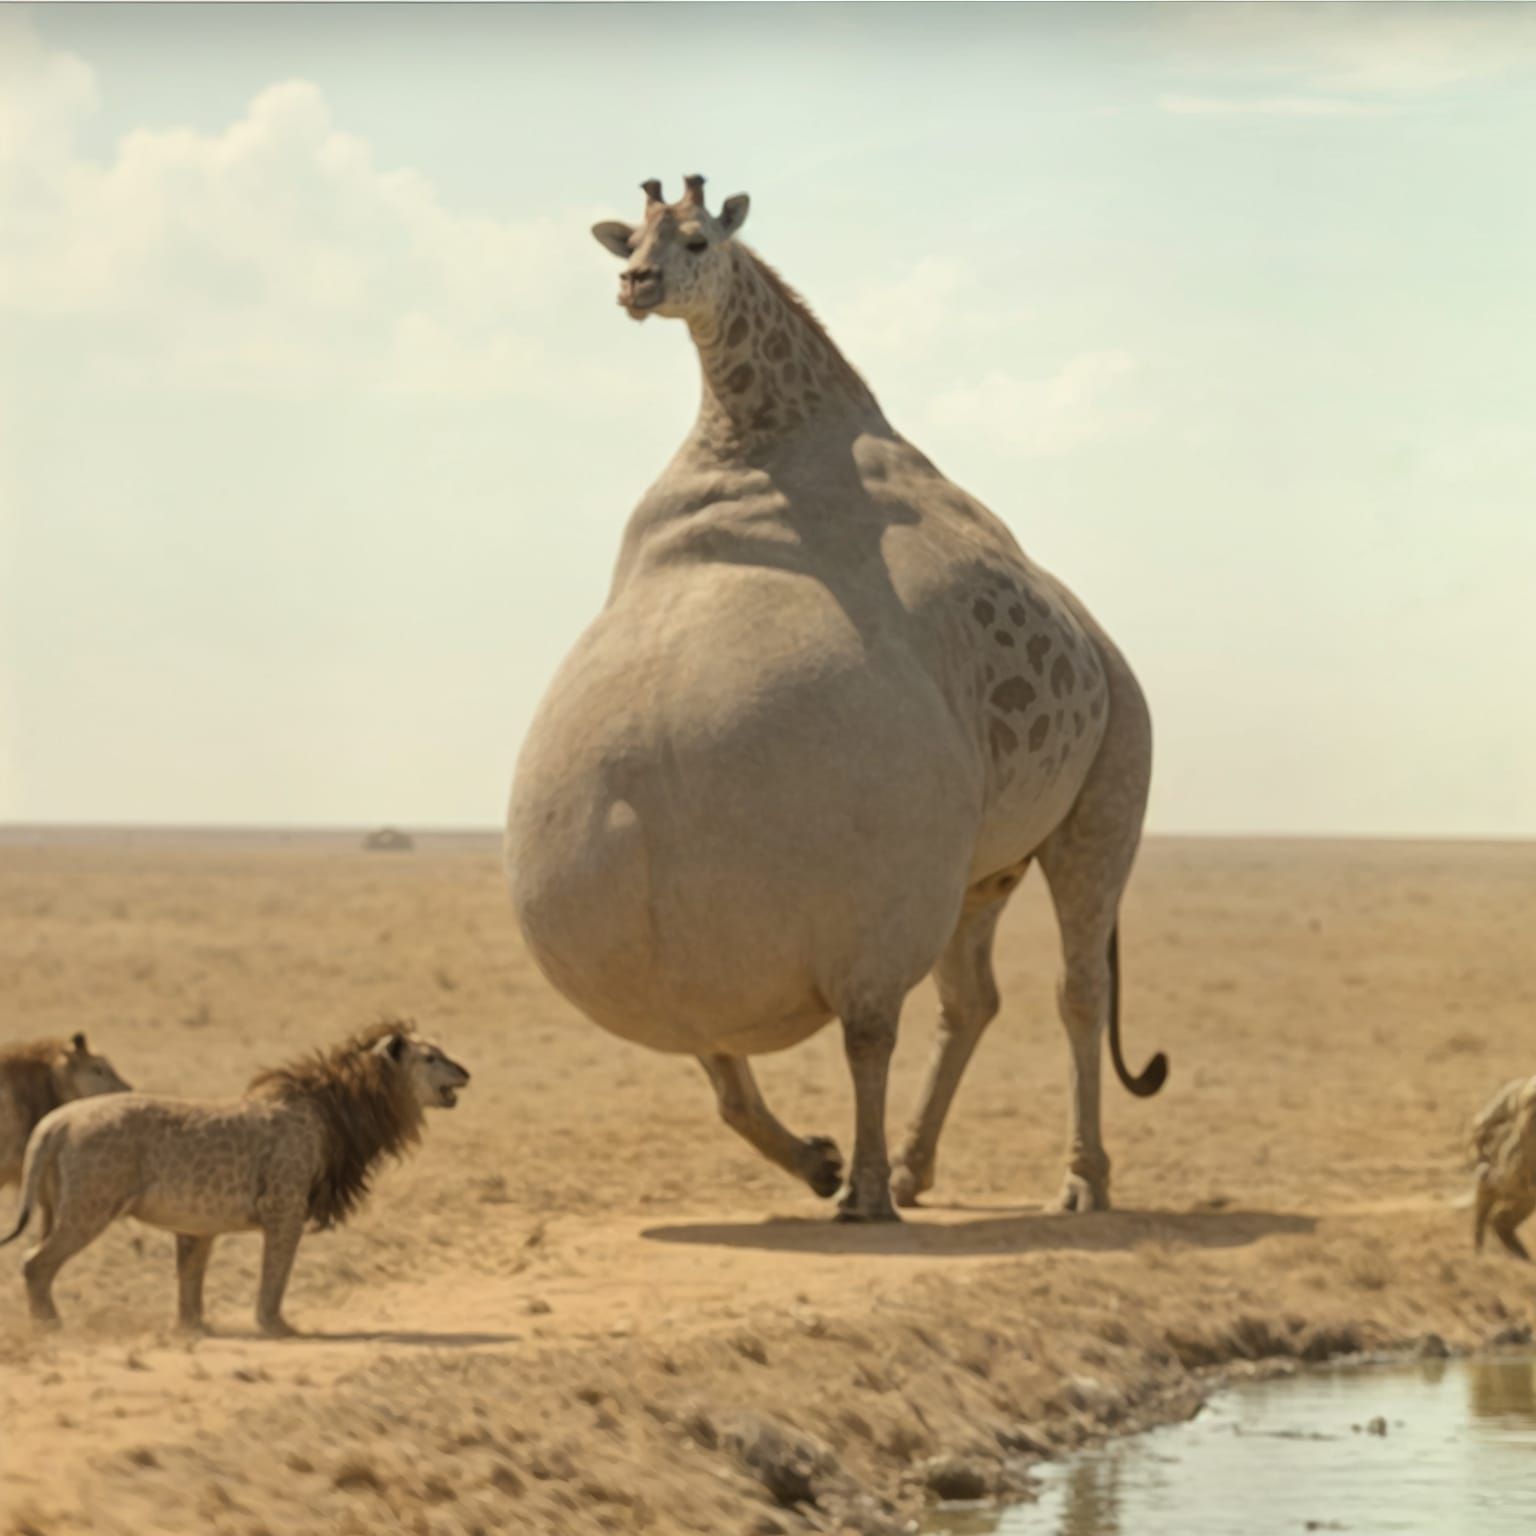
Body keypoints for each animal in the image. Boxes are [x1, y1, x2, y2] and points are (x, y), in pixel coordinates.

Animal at [507, 175, 1166, 1221]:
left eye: (698, 239)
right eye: (632, 240)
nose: (636, 283)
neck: (751, 437)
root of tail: (1108, 655)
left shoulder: (880, 915)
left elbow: (865, 1035)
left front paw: (855, 1188)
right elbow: (730, 1076)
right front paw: (828, 1166)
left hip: (1107, 787)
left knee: (1070, 991)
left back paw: (1071, 1182)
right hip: (980, 865)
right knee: (959, 1002)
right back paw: (906, 1167)